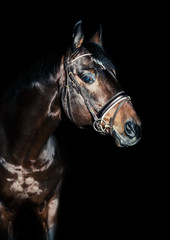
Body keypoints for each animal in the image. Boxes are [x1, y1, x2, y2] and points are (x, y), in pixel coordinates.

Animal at [0, 20, 141, 240]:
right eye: (87, 77)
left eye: (114, 74)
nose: (133, 127)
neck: (23, 155)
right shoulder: (4, 212)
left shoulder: (51, 206)